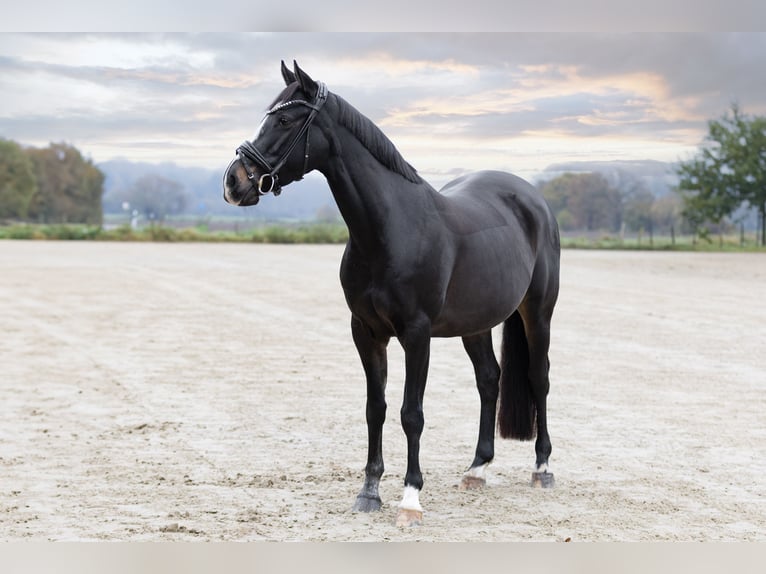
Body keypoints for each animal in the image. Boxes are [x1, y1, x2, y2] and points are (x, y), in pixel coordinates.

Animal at [225, 62, 560, 528]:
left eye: (286, 120)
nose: (234, 182)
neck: (390, 227)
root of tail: (532, 199)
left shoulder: (416, 335)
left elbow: (410, 413)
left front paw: (410, 498)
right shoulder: (366, 332)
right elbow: (376, 408)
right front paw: (369, 492)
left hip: (538, 311)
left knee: (538, 377)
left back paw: (543, 468)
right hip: (475, 323)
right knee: (489, 380)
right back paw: (477, 469)